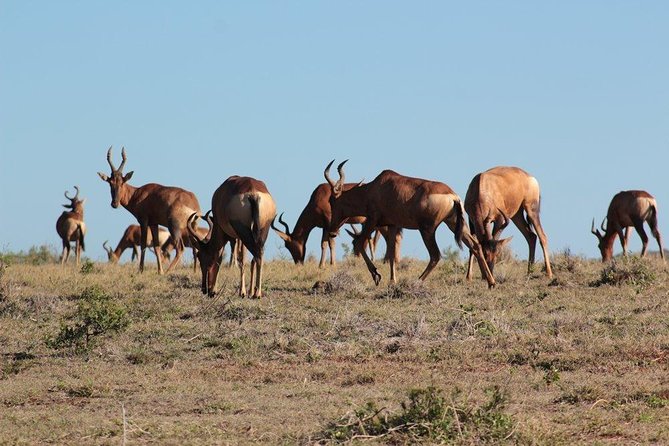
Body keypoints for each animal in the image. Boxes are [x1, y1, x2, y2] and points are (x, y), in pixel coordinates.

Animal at [96, 146, 201, 274]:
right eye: (110, 183)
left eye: (122, 182)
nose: (114, 204)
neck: (138, 193)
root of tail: (193, 202)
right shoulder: (154, 223)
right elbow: (156, 247)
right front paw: (159, 271)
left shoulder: (143, 221)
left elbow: (143, 245)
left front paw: (140, 271)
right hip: (193, 227)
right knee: (195, 248)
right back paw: (193, 271)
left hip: (174, 227)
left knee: (180, 248)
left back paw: (168, 271)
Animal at [326, 159, 494, 288]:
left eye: (333, 201)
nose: (332, 232)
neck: (375, 188)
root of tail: (453, 196)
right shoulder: (392, 225)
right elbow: (392, 253)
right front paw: (392, 281)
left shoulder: (372, 221)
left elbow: (360, 243)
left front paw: (376, 275)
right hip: (454, 223)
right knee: (475, 245)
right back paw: (491, 282)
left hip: (427, 229)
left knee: (435, 255)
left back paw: (417, 281)